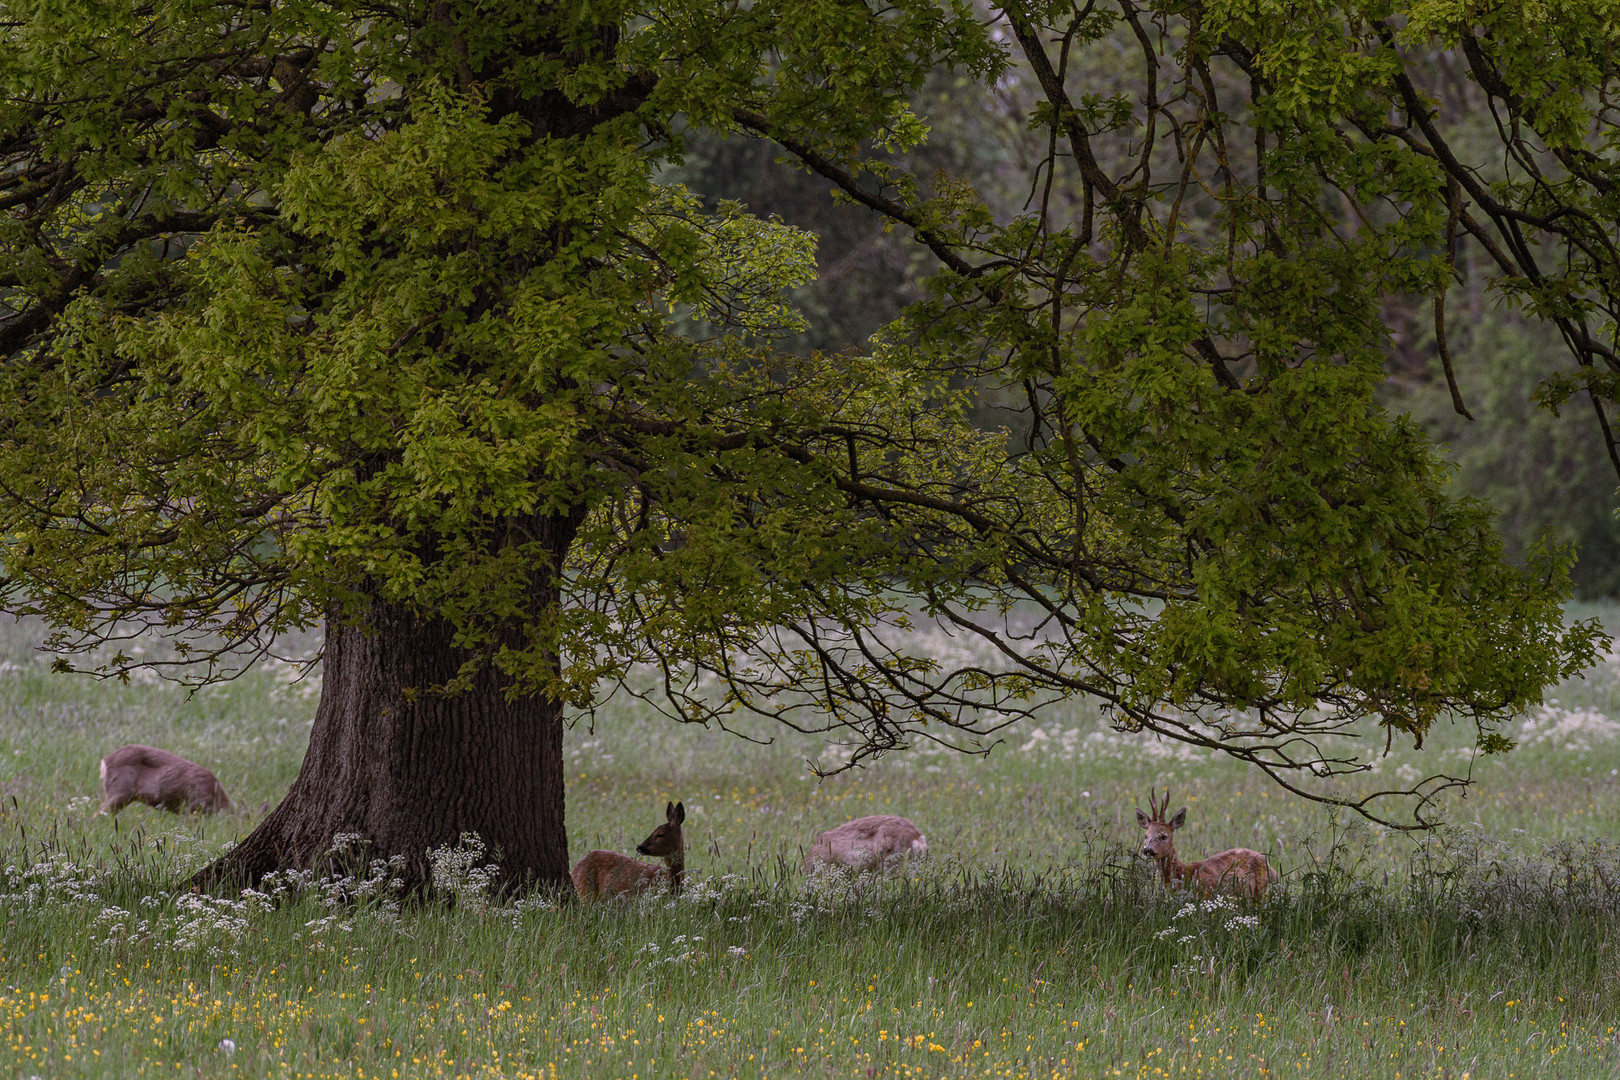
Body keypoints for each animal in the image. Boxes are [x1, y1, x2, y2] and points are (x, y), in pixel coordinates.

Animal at [1140, 786, 1276, 906]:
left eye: (1163, 836)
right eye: (1146, 835)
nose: (1147, 849)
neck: (1184, 875)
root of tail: (1273, 870)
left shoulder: (1204, 896)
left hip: (1259, 892)